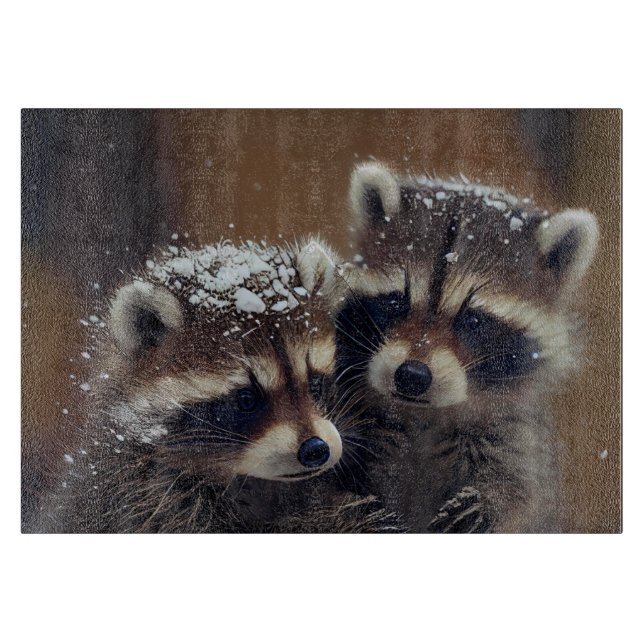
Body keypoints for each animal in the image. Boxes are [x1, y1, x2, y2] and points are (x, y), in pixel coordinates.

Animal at [335, 162, 599, 533]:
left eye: (473, 320)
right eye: (397, 302)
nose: (411, 375)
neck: (425, 415)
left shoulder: (514, 429)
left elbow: (525, 489)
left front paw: (493, 501)